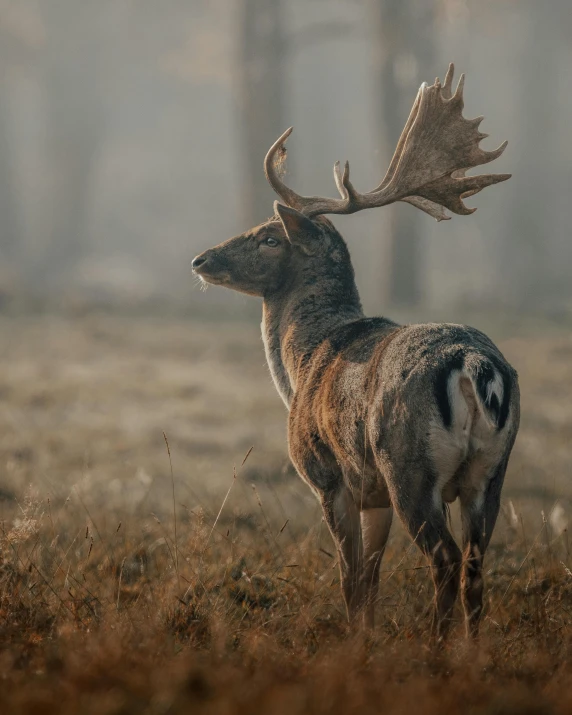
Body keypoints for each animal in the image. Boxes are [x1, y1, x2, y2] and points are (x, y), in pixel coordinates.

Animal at [192, 64, 520, 640]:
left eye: (270, 238)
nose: (202, 259)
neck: (303, 363)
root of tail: (475, 367)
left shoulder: (330, 476)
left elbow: (349, 578)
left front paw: (354, 644)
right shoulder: (374, 496)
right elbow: (370, 578)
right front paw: (365, 637)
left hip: (409, 466)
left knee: (445, 559)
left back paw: (436, 650)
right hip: (490, 472)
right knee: (476, 567)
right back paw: (470, 652)